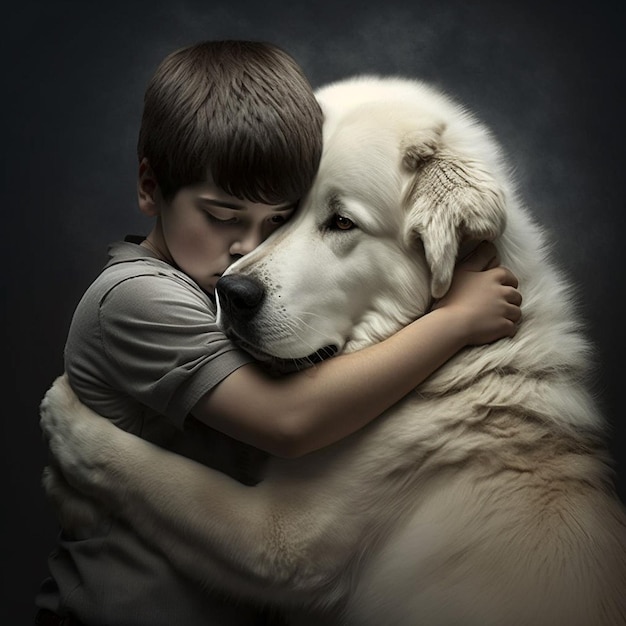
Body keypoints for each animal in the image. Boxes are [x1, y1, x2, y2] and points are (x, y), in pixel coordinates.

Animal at [41, 77, 620, 624]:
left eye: (341, 222)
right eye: (282, 214)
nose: (232, 294)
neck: (452, 368)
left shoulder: (277, 541)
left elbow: (153, 472)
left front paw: (67, 423)